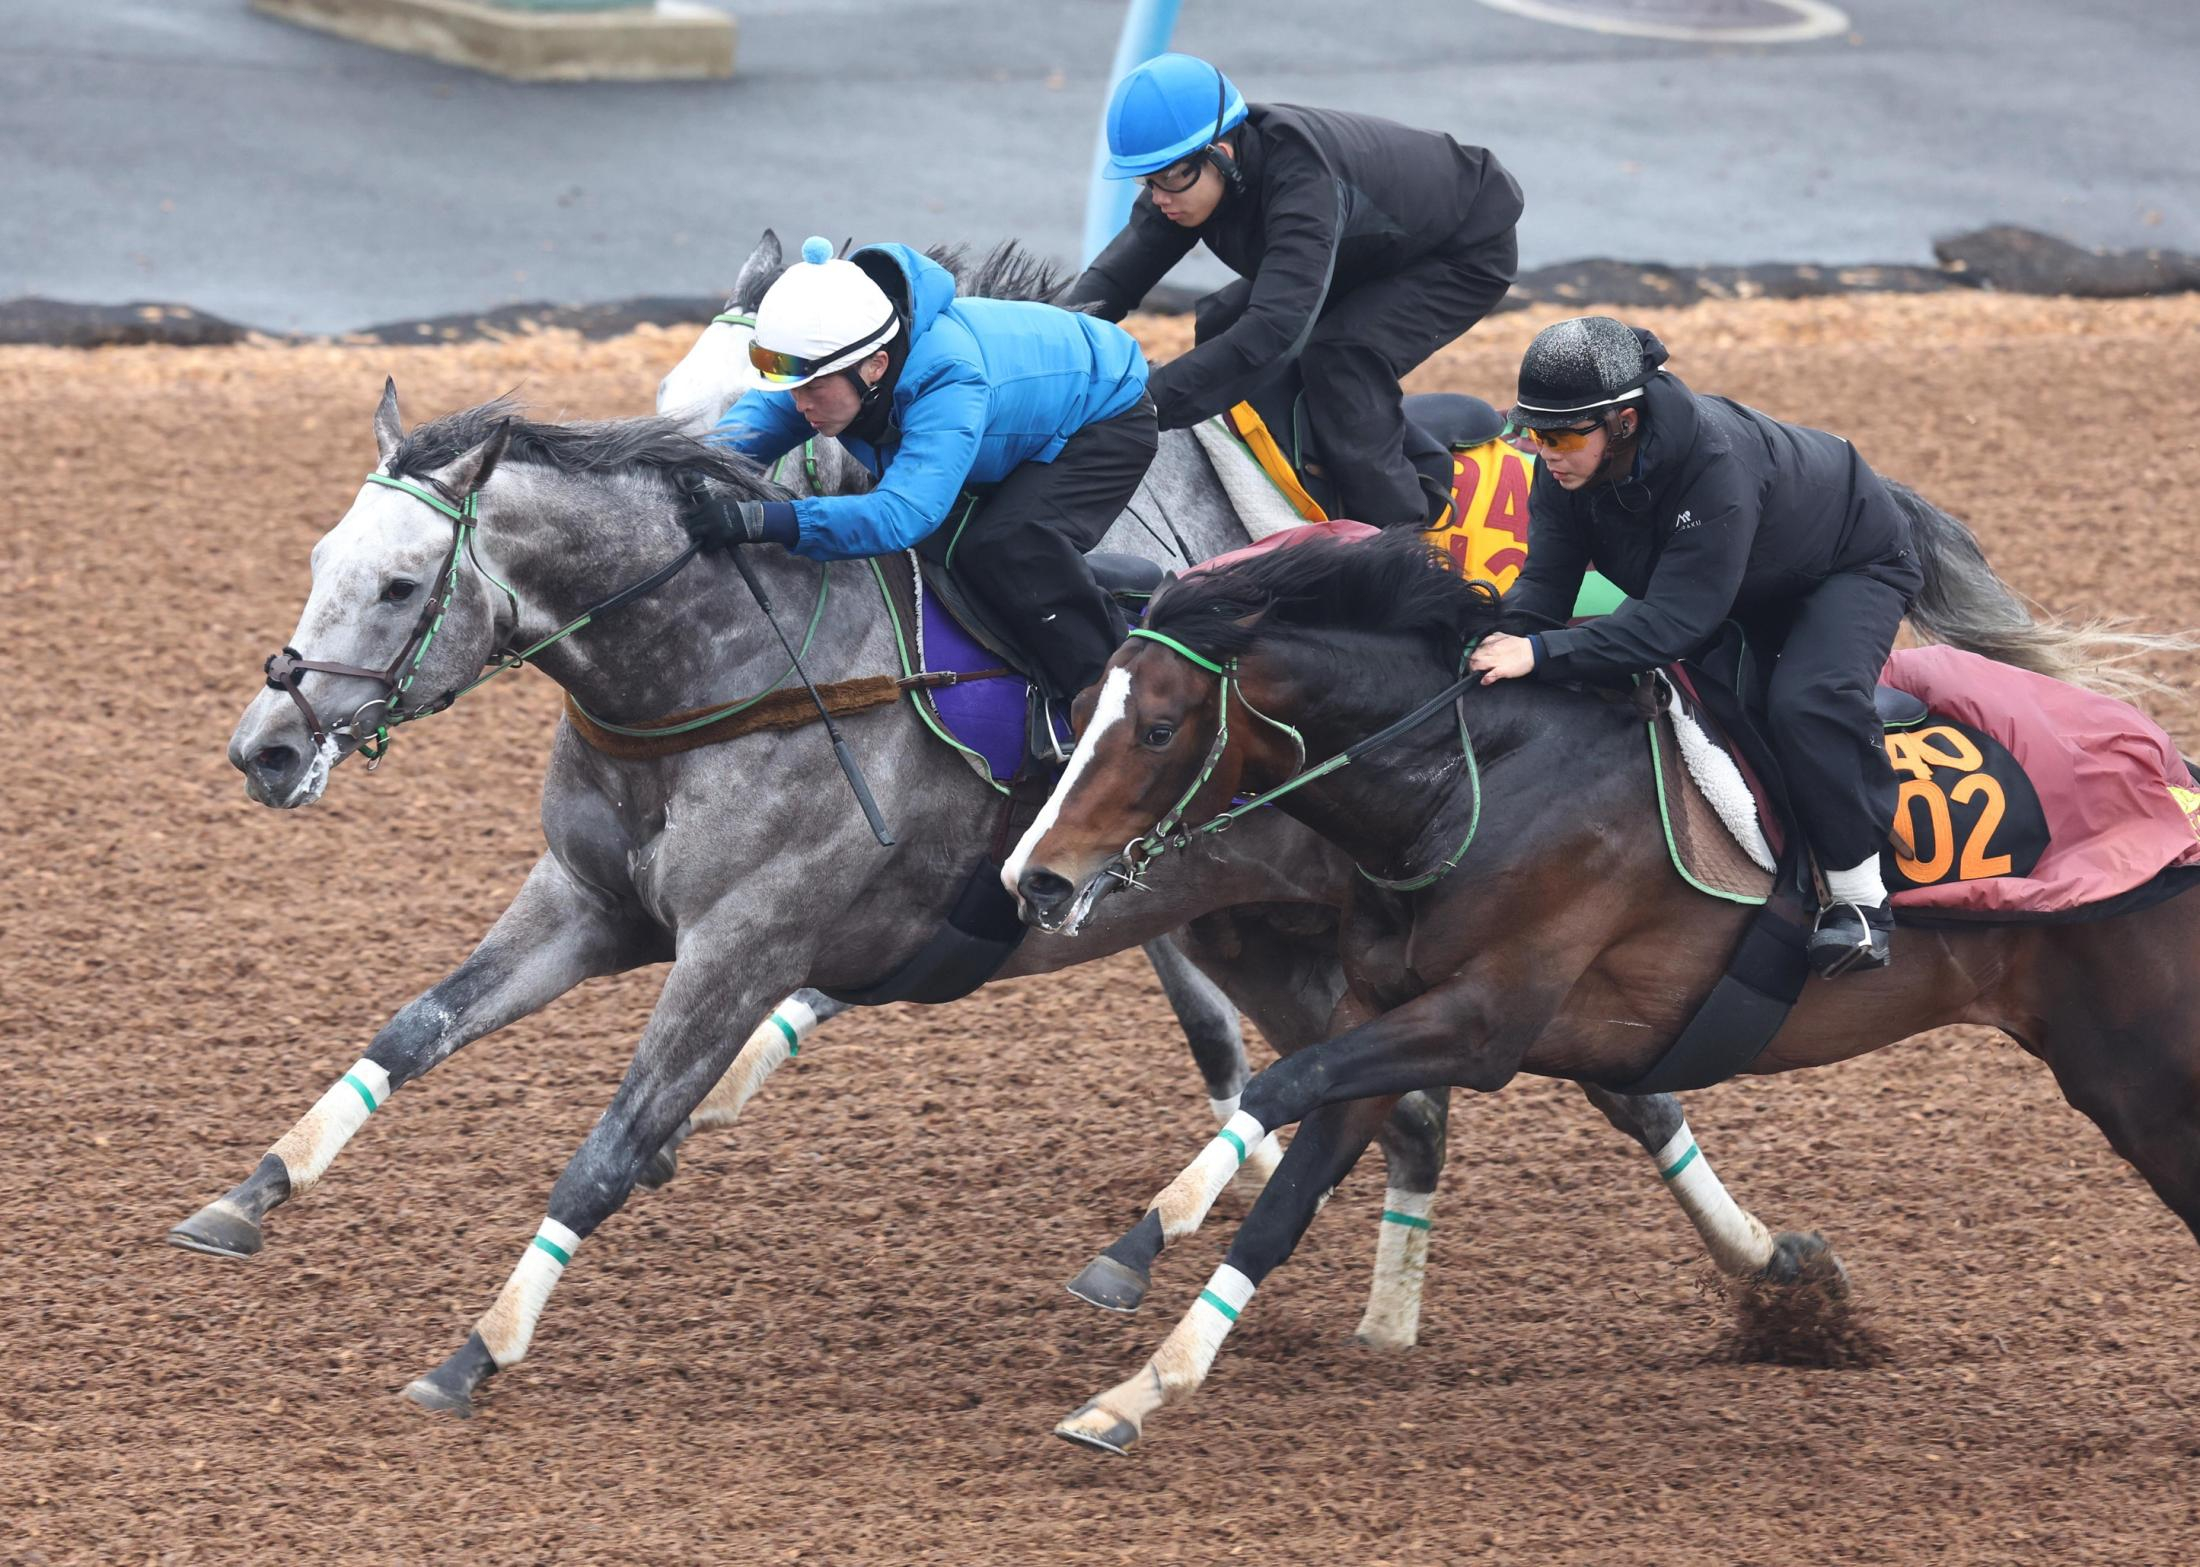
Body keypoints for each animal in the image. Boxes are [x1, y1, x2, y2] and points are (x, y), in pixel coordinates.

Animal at [1008, 516, 2200, 1455]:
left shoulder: (1482, 1023)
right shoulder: (1379, 1010)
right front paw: (1134, 1390)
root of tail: (2174, 777)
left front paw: (1133, 1249)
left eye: (1159, 729)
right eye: (1080, 703)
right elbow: (1288, 1193)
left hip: (2146, 1074)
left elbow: (1278, 1085)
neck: (1468, 778)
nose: (1035, 878)